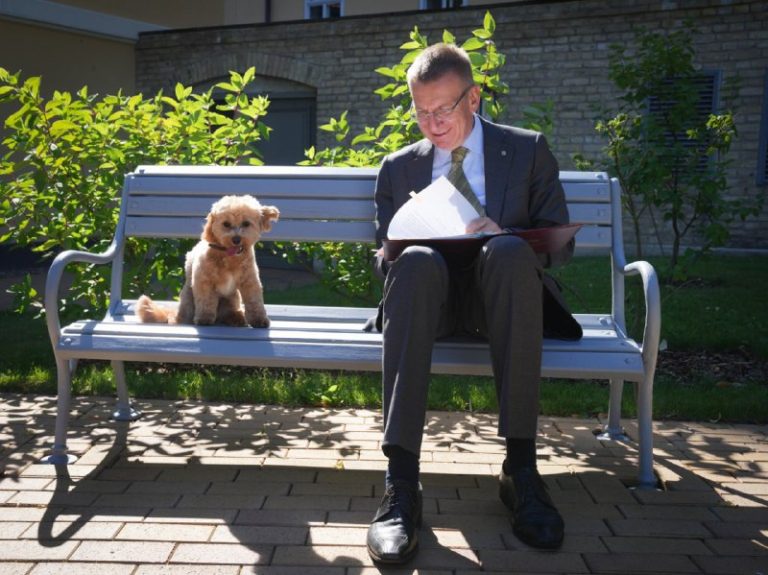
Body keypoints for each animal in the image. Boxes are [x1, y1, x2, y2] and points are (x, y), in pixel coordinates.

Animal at [137, 196, 280, 326]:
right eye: (226, 224)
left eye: (246, 223)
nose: (236, 239)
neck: (228, 256)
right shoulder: (204, 281)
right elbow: (206, 302)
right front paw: (204, 319)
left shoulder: (250, 281)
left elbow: (254, 302)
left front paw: (259, 320)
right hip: (188, 298)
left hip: (232, 298)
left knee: (228, 313)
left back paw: (237, 318)